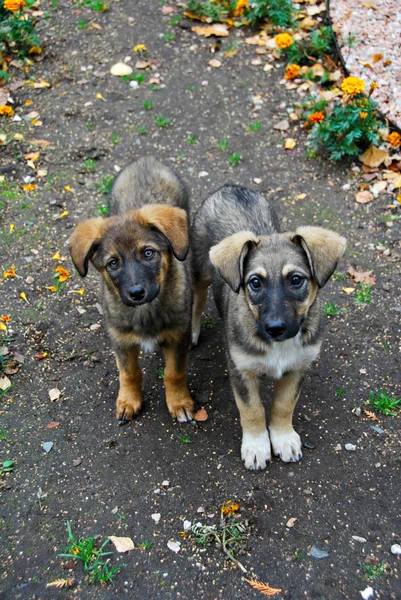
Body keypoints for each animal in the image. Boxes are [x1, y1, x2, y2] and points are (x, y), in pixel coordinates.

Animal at [69, 157, 194, 424]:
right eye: (112, 263)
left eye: (148, 253)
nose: (137, 293)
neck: (146, 311)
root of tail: (146, 160)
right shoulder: (121, 339)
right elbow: (129, 373)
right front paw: (128, 401)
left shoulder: (179, 335)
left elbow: (174, 372)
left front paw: (179, 402)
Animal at [191, 185, 344, 472]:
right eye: (255, 282)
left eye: (296, 280)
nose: (275, 328)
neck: (279, 346)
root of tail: (230, 187)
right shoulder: (241, 370)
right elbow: (252, 410)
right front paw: (256, 446)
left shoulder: (298, 367)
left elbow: (284, 405)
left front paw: (283, 438)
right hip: (200, 269)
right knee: (198, 297)